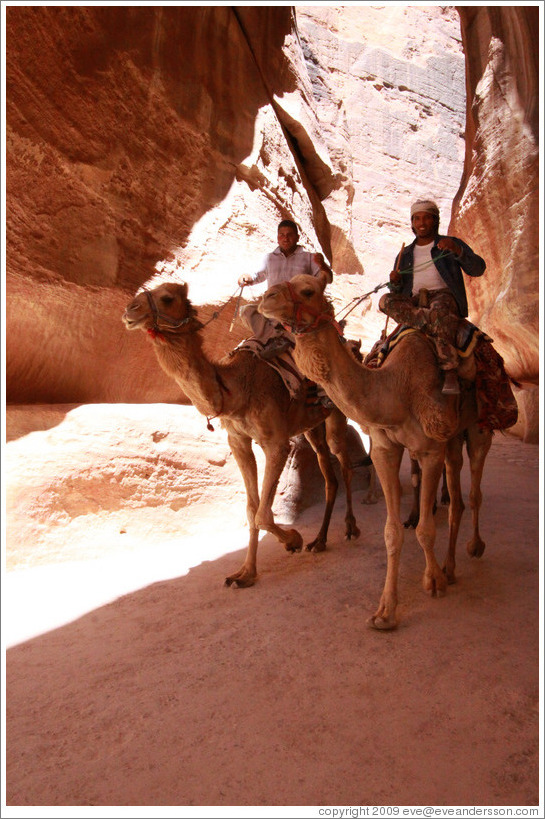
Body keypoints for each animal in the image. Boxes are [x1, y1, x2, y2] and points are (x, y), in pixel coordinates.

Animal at [124, 284, 362, 588]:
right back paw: (319, 541)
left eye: (167, 297)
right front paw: (245, 573)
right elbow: (252, 509)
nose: (130, 310)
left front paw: (293, 540)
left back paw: (350, 528)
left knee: (344, 464)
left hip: (337, 412)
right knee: (328, 472)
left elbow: (262, 514)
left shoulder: (276, 442)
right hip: (311, 425)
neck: (235, 389)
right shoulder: (238, 441)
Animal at [260, 272, 492, 632]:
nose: (265, 299)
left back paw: (473, 548)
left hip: (479, 427)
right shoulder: (385, 448)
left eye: (308, 290)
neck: (396, 388)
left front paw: (432, 581)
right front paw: (385, 612)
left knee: (474, 490)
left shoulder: (430, 450)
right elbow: (391, 532)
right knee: (457, 494)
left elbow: (425, 529)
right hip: (453, 437)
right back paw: (451, 567)